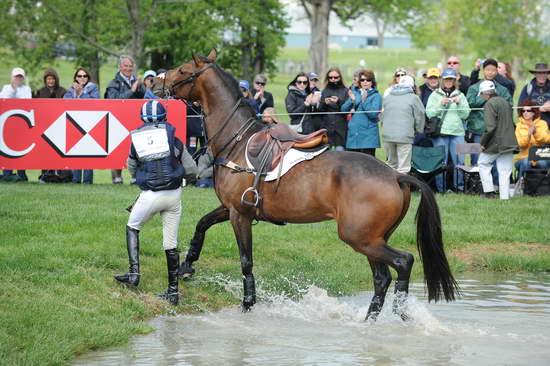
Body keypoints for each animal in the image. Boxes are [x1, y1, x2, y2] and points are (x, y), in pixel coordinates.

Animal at [152, 48, 462, 320]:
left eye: (183, 70)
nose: (155, 82)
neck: (237, 139)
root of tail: (396, 175)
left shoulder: (239, 215)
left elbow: (246, 261)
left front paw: (248, 302)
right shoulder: (230, 208)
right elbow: (201, 225)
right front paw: (186, 265)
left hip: (360, 237)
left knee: (403, 262)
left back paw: (400, 310)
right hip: (373, 238)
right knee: (381, 278)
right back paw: (370, 320)